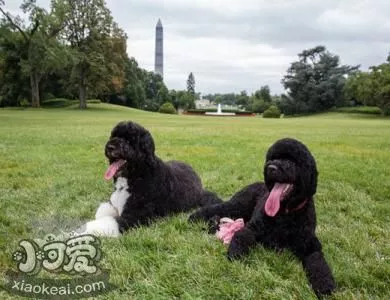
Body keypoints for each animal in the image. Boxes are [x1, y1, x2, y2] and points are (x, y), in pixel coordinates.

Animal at [77, 121, 221, 237]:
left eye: (129, 141)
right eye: (114, 136)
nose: (110, 147)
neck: (137, 175)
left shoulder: (136, 215)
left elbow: (107, 222)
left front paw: (82, 231)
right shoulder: (115, 204)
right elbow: (103, 211)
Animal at [189, 138, 336, 298]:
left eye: (291, 161)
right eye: (272, 158)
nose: (271, 168)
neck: (285, 213)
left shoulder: (310, 244)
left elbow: (318, 263)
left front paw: (325, 285)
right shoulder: (253, 228)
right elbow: (241, 236)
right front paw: (235, 253)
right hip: (238, 206)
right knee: (217, 208)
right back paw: (194, 217)